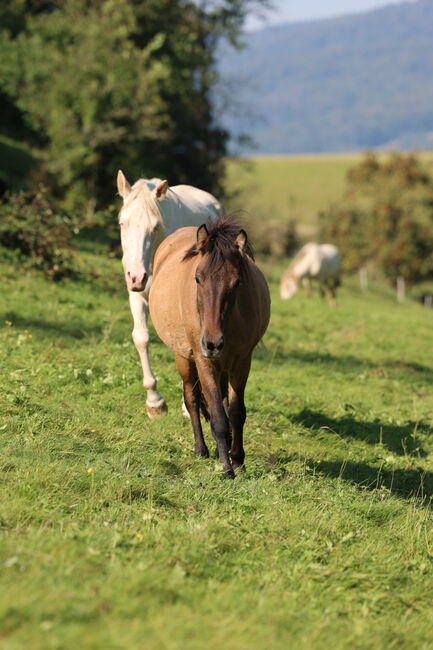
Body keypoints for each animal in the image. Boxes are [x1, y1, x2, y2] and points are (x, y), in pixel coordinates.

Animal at [115, 170, 223, 418]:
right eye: (122, 223)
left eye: (154, 227)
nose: (137, 277)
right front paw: (154, 402)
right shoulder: (136, 296)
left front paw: (187, 405)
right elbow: (141, 337)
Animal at [150, 218, 268, 476]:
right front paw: (226, 468)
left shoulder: (242, 363)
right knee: (192, 399)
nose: (212, 343)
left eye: (237, 282)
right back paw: (201, 449)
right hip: (184, 359)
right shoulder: (205, 363)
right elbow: (218, 419)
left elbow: (235, 413)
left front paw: (238, 460)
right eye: (198, 278)